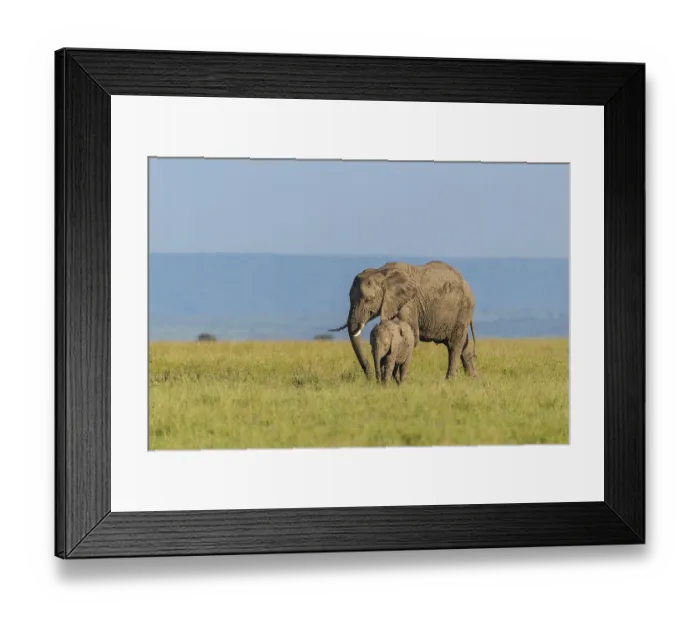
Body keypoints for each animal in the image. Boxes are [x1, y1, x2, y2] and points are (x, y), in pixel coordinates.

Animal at [330, 260, 477, 380]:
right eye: (350, 298)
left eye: (368, 300)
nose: (370, 376)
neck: (382, 273)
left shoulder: (409, 302)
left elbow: (411, 335)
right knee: (464, 345)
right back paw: (473, 380)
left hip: (464, 308)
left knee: (454, 345)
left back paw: (450, 380)